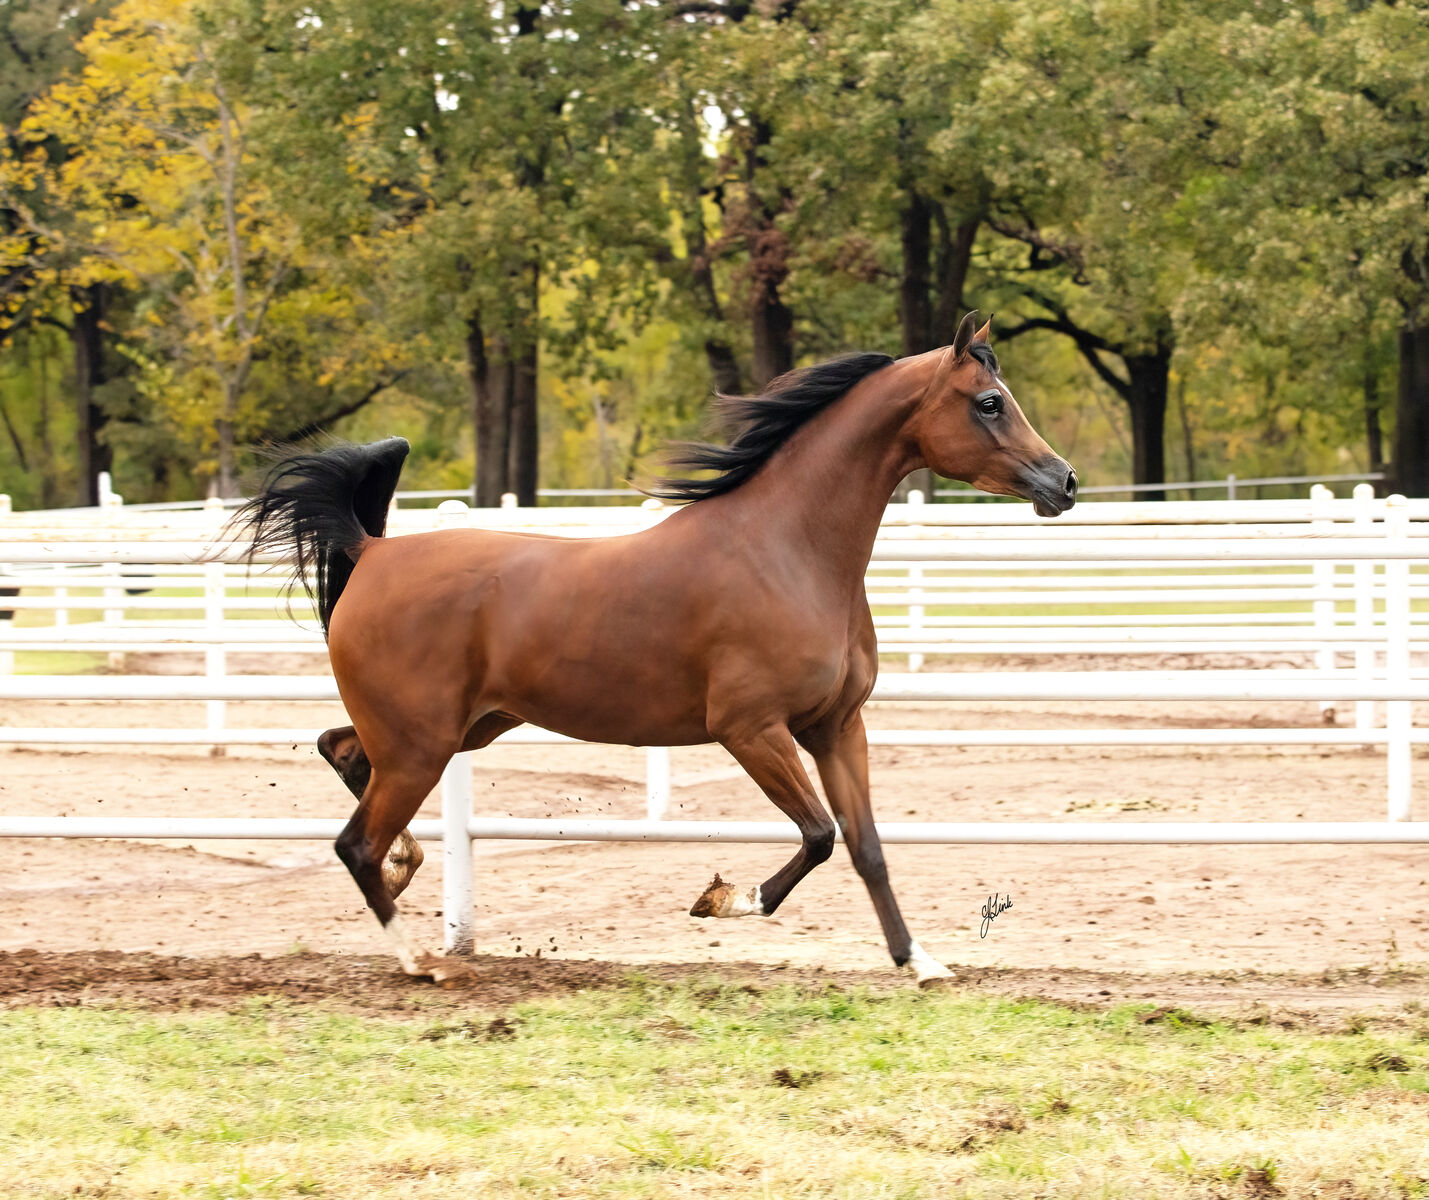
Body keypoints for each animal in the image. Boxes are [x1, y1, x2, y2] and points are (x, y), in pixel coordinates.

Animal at [233, 312, 1076, 986]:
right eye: (988, 402)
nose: (1062, 482)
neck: (787, 550)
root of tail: (371, 550)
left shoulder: (836, 726)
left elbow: (866, 846)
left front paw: (919, 961)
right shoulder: (751, 729)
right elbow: (817, 835)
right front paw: (724, 900)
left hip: (456, 730)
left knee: (341, 756)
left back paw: (409, 871)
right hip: (421, 746)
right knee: (354, 843)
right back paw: (420, 961)